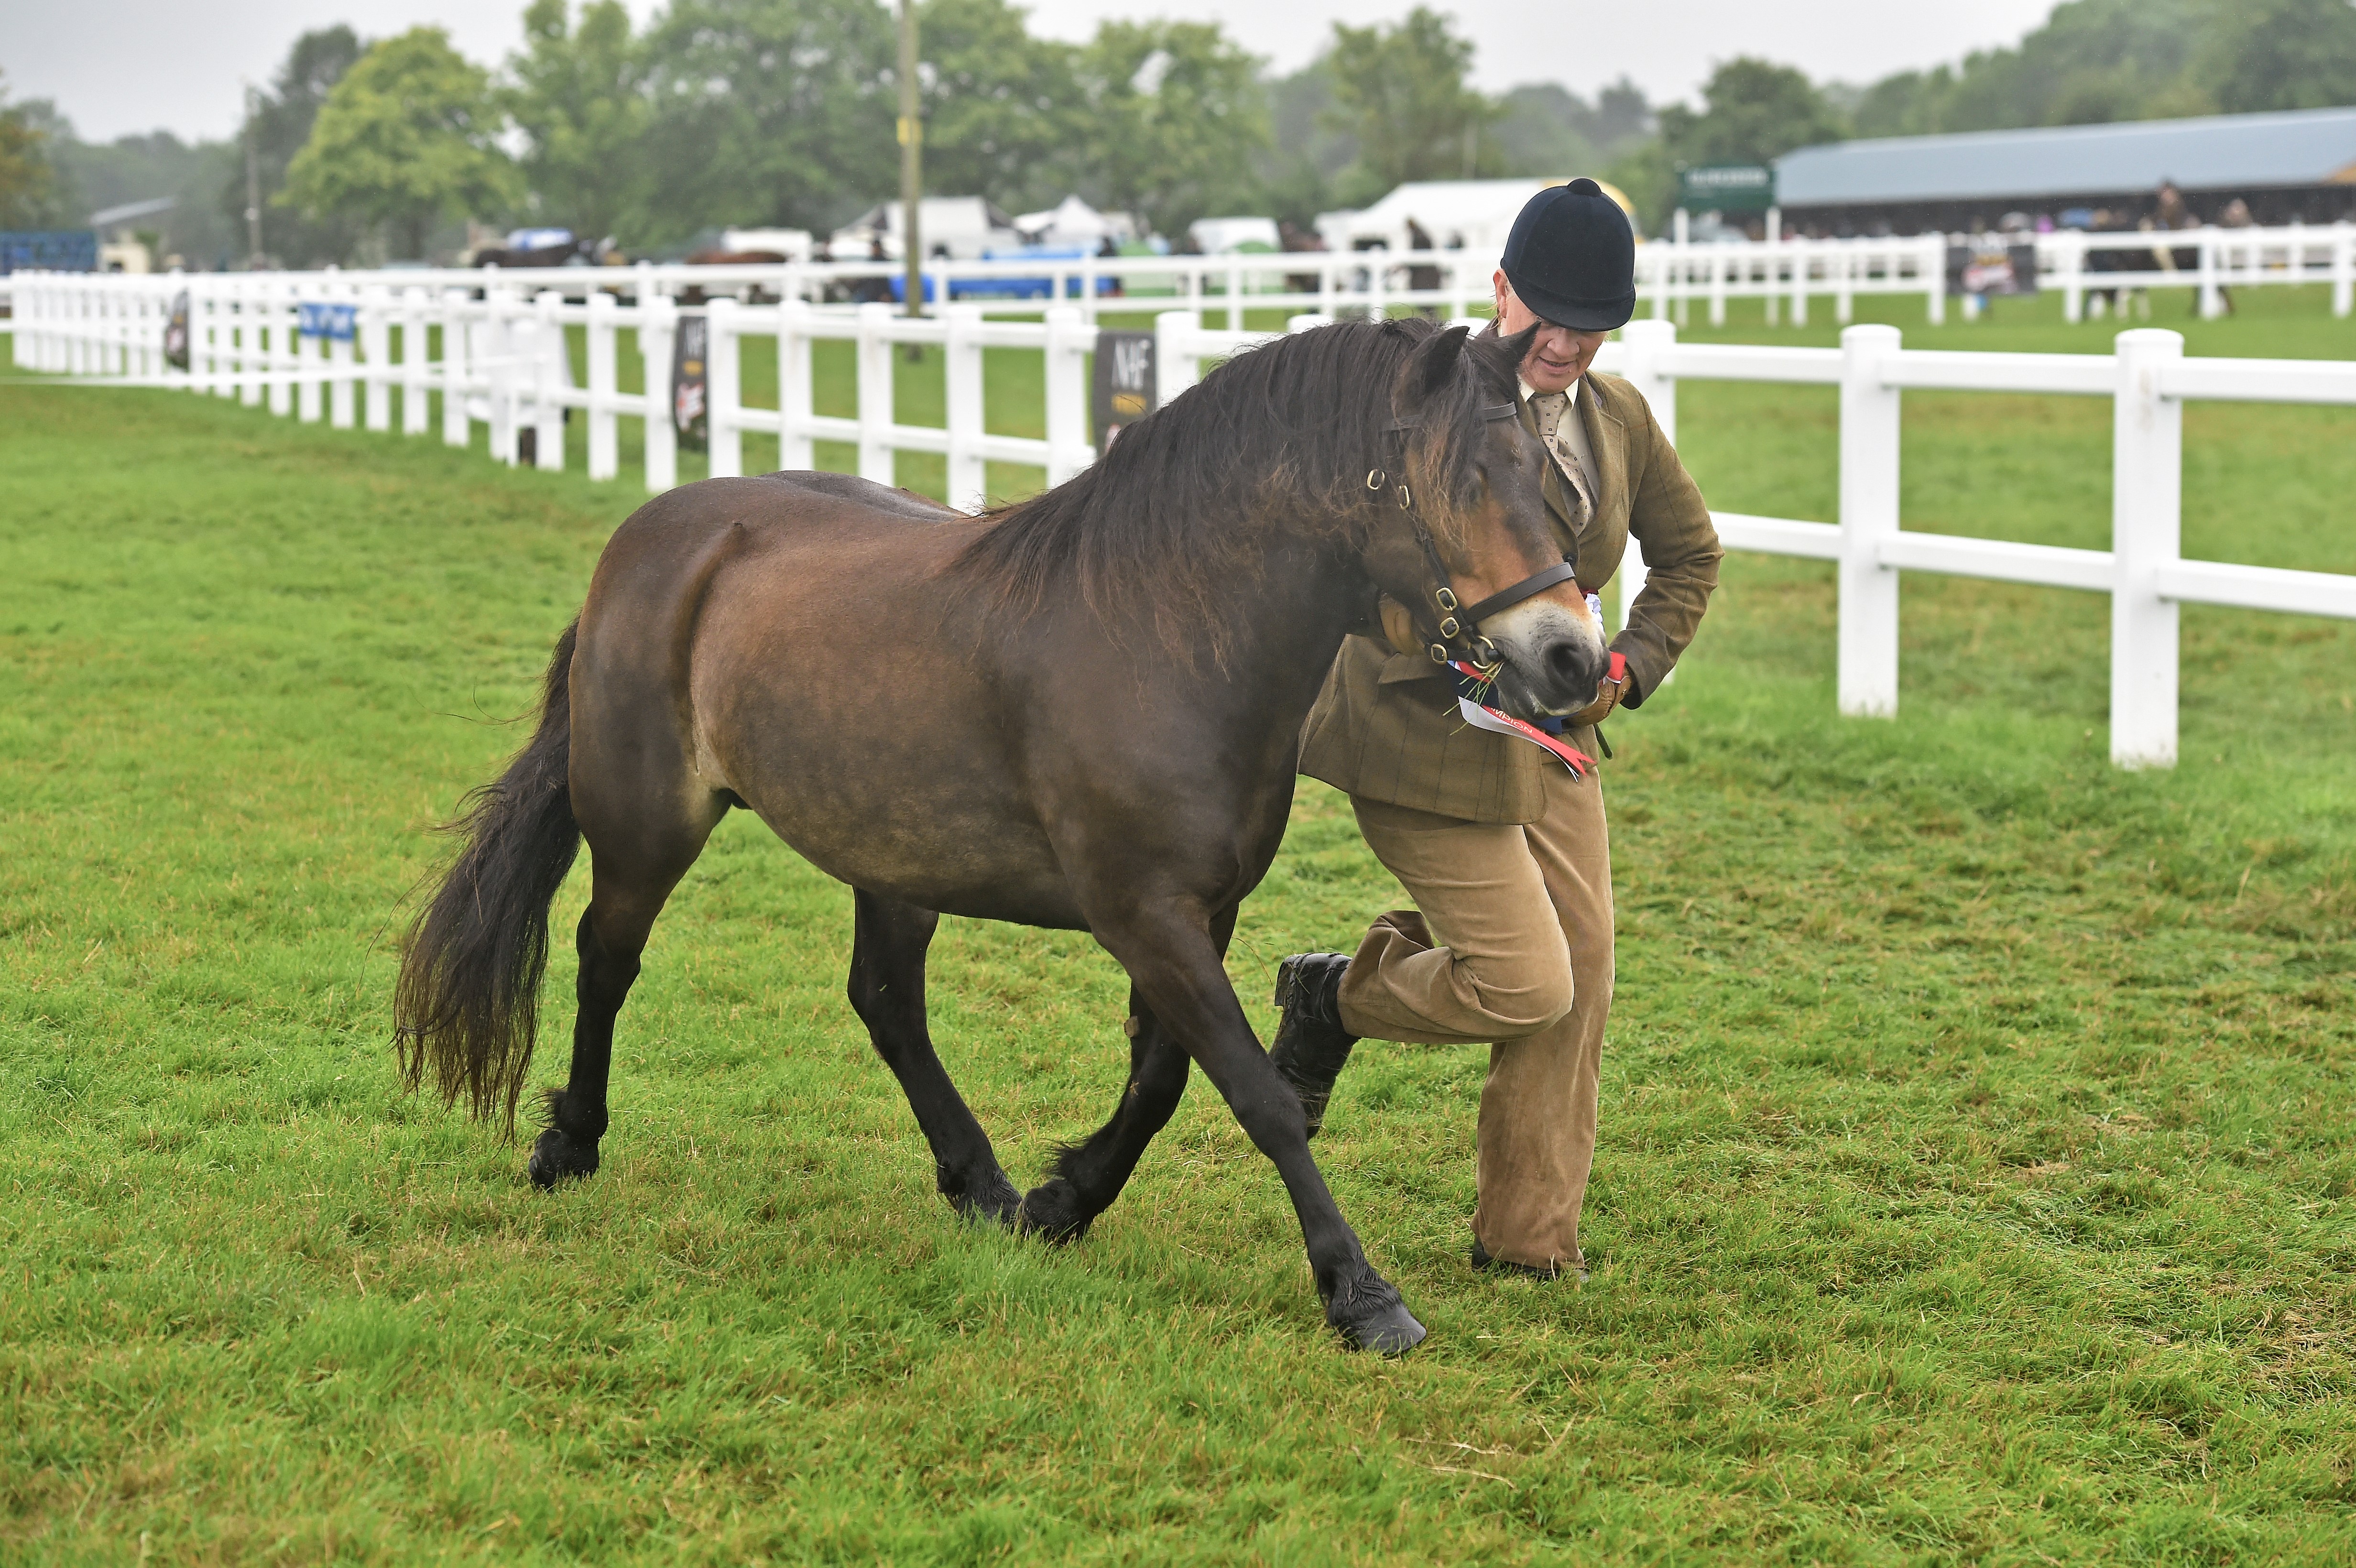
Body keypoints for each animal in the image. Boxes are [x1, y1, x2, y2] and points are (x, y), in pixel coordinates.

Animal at [400, 315, 1621, 1347]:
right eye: (1462, 483)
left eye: (1545, 481)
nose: (1569, 657)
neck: (1163, 628)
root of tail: (654, 538)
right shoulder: (1144, 913)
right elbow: (1258, 1094)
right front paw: (1360, 1292)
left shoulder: (1199, 911)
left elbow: (1163, 1080)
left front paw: (1059, 1199)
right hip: (648, 821)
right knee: (606, 956)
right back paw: (572, 1139)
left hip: (890, 853)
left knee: (886, 1002)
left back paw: (976, 1179)